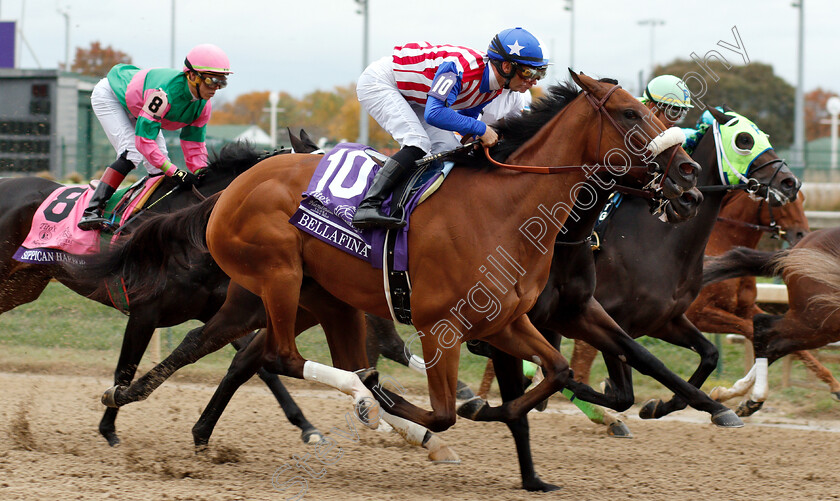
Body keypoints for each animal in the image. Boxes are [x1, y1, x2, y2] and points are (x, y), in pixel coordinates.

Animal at [90, 70, 704, 472]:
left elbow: (552, 371)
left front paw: (492, 409)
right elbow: (444, 411)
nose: (689, 176)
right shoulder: (443, 326)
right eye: (631, 113)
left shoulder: (508, 320)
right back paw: (365, 398)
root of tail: (233, 186)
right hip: (279, 277)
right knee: (281, 356)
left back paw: (129, 402)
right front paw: (426, 410)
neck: (507, 209)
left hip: (312, 296)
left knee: (224, 345)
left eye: (658, 114)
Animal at [704, 227, 840, 410]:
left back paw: (736, 395)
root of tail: (795, 249)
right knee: (764, 327)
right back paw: (755, 396)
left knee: (776, 345)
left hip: (820, 324)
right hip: (819, 318)